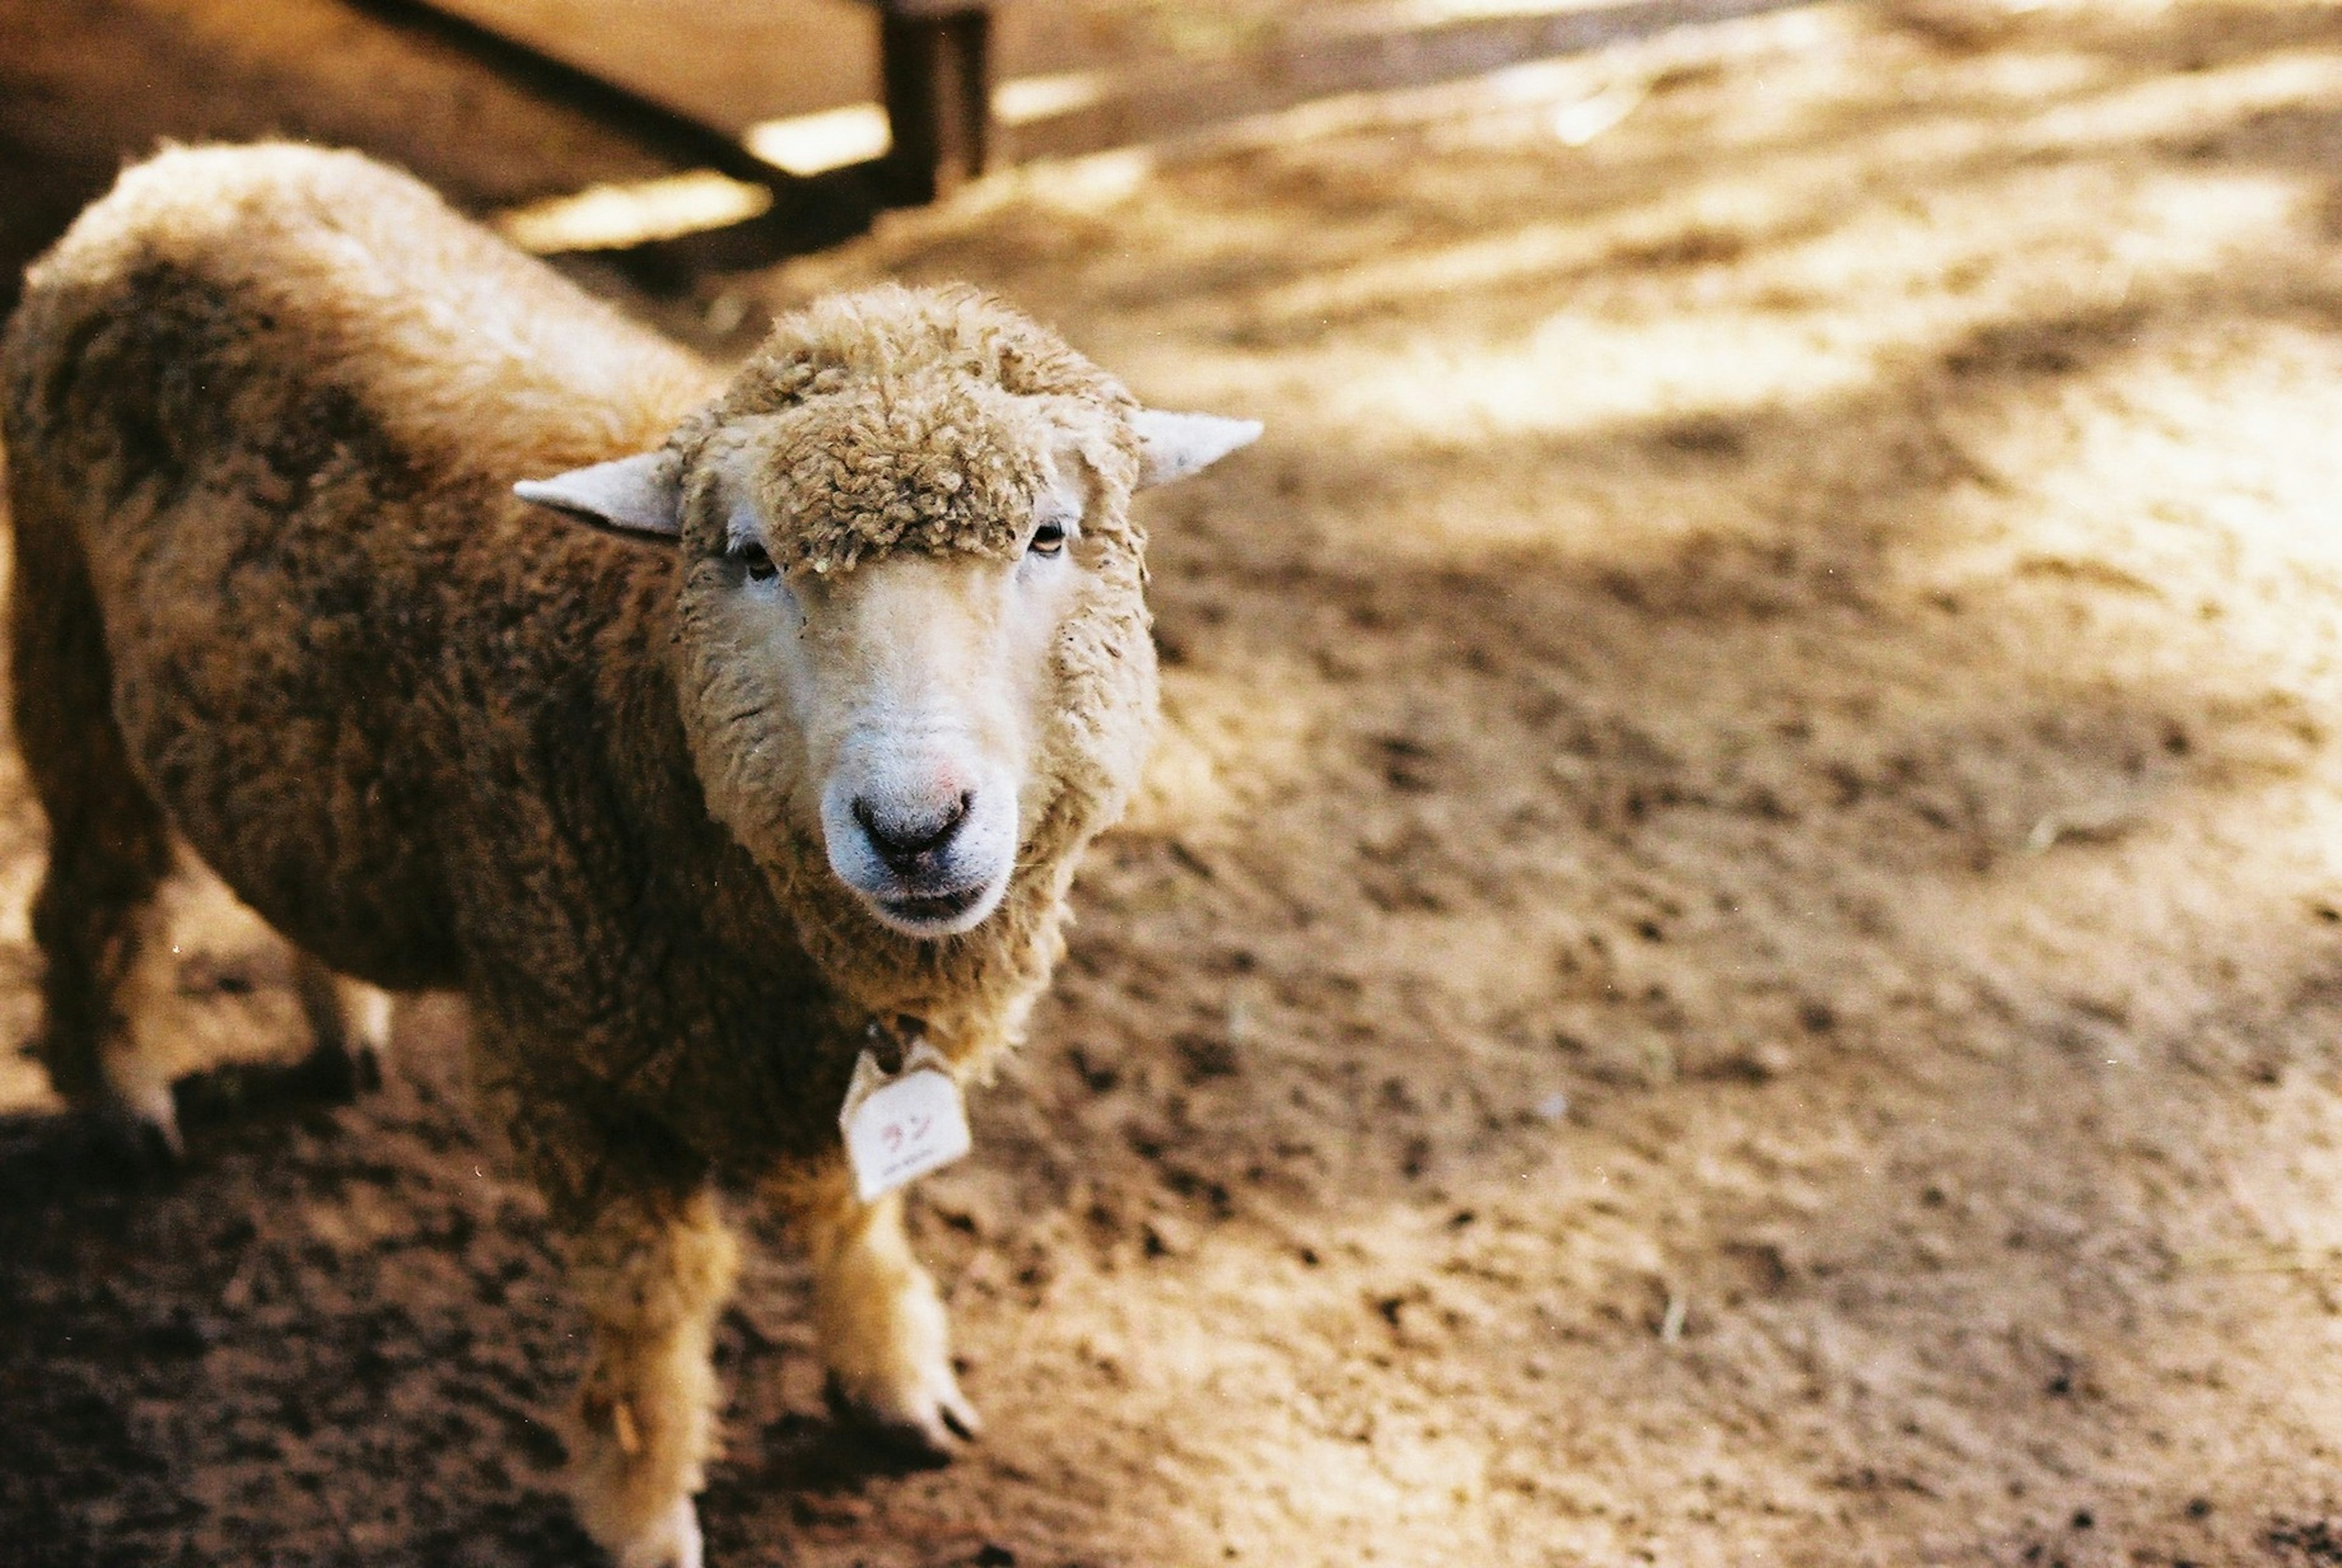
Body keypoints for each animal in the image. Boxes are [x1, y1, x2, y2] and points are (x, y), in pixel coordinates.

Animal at [4, 141, 1264, 1563]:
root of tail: (189, 167)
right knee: (96, 890)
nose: (914, 827)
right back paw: (123, 1095)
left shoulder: (816, 1058)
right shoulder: (567, 1058)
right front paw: (645, 1498)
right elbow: (655, 1299)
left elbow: (857, 1207)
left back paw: (341, 1021)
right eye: (752, 558)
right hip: (62, 629)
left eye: (1050, 534)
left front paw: (893, 1376)